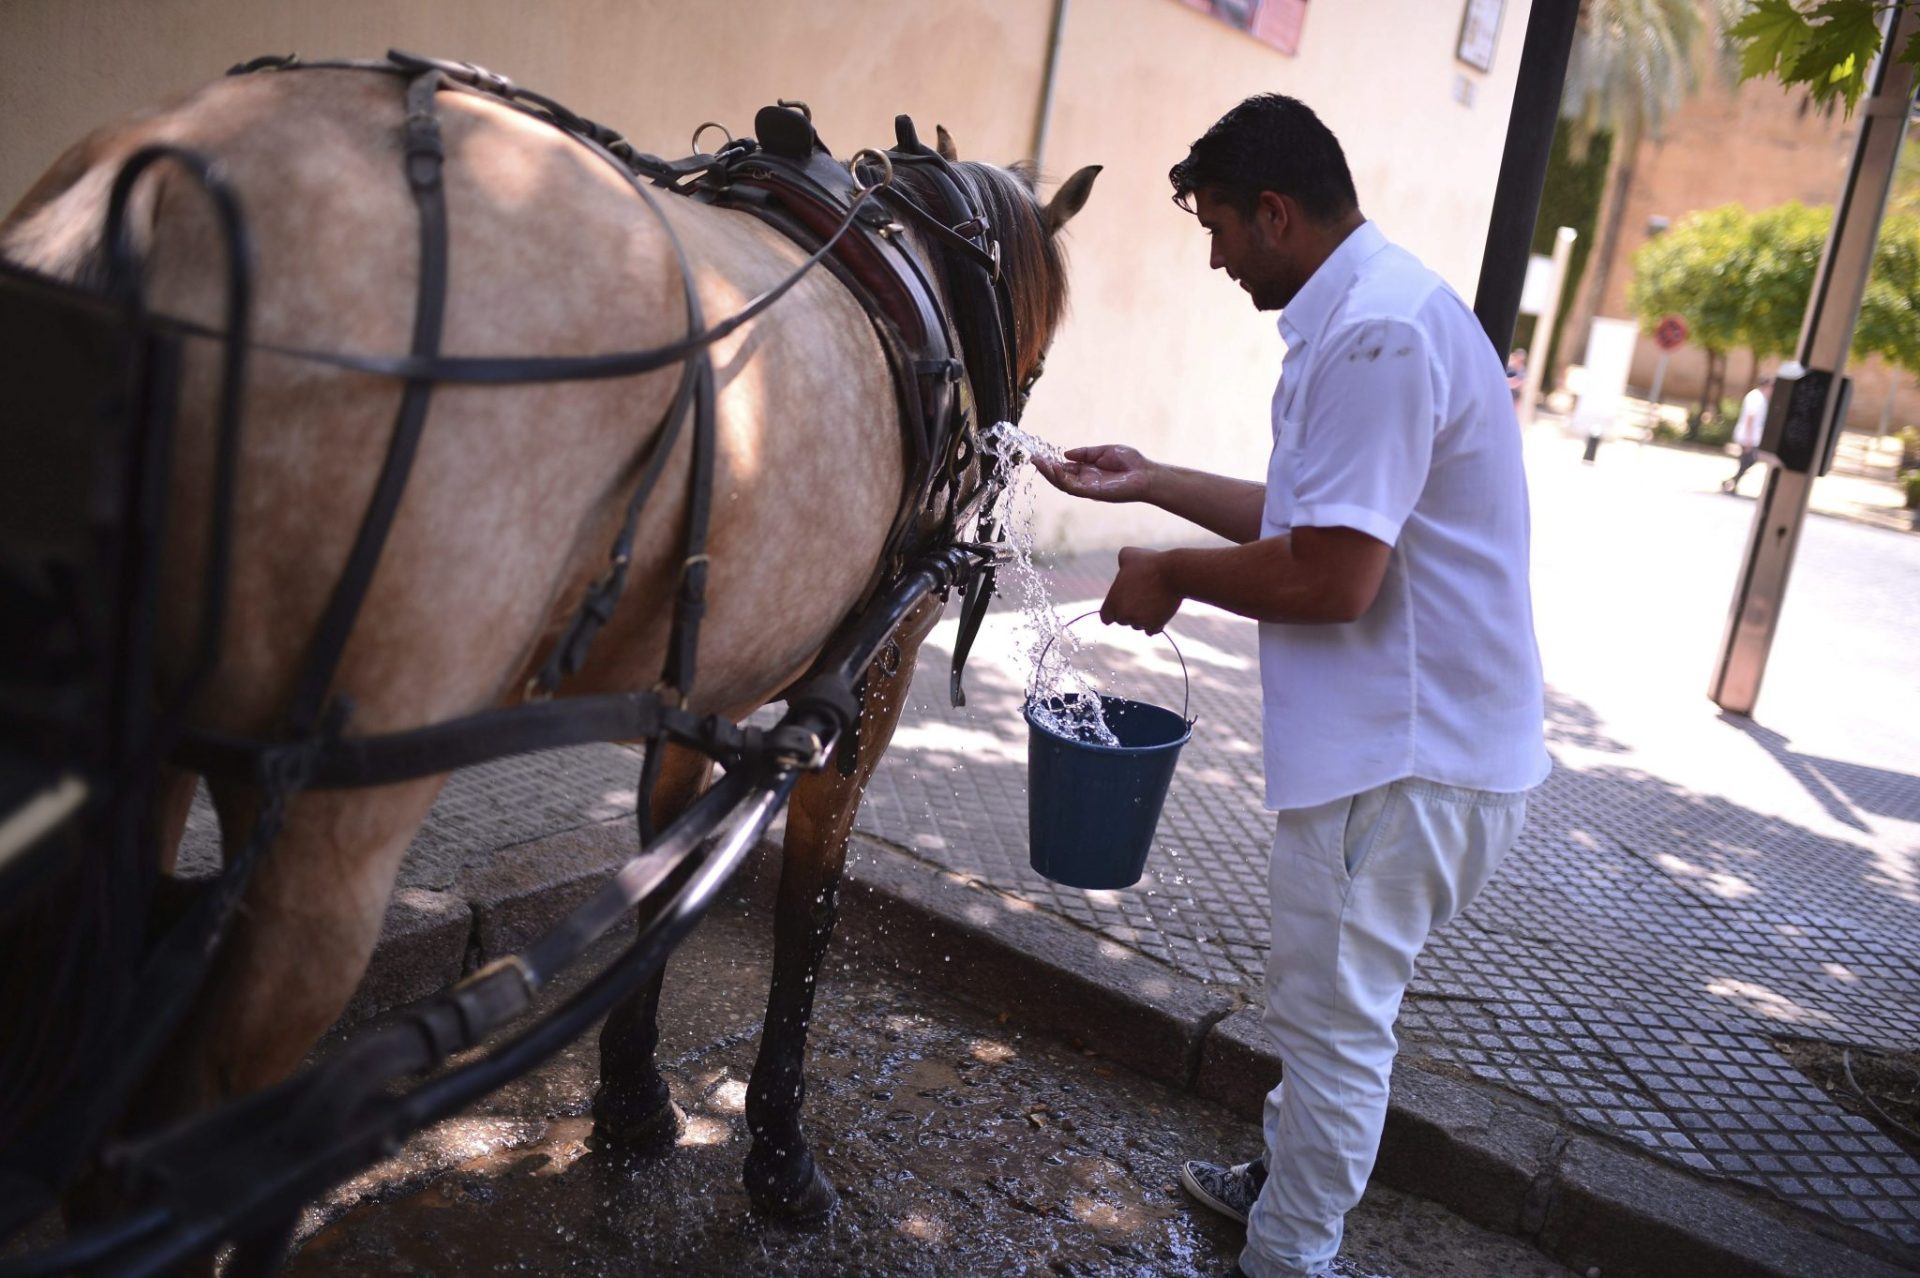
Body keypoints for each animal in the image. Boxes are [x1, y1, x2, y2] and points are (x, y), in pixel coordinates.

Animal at [0, 58, 1098, 1244]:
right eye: (1040, 350)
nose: (1011, 453)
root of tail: (141, 192)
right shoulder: (868, 683)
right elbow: (809, 908)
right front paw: (778, 1152)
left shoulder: (700, 677)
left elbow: (664, 868)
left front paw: (633, 1098)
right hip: (321, 826)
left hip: (152, 772)